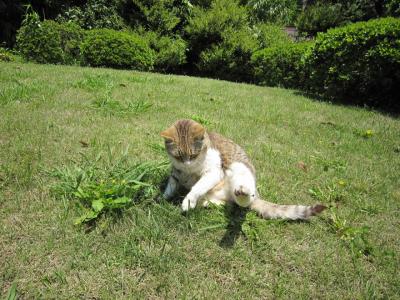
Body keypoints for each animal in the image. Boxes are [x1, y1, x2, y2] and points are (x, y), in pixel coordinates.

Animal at [161, 119, 326, 220]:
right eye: (179, 157)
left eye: (193, 155)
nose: (187, 164)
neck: (190, 170)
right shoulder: (176, 172)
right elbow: (171, 184)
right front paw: (164, 197)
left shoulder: (214, 172)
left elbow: (197, 186)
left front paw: (188, 200)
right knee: (229, 204)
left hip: (238, 169)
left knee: (245, 202)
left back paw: (243, 192)